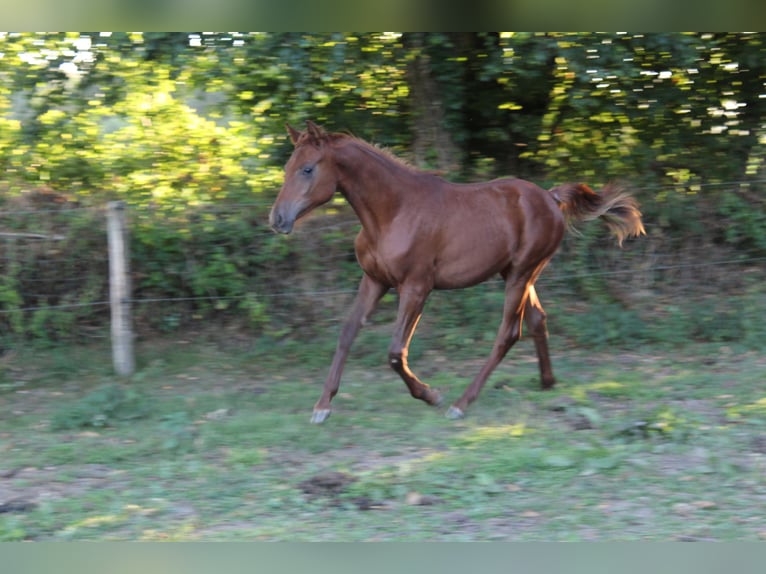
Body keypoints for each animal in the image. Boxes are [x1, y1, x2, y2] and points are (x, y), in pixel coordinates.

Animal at [270, 121, 645, 423]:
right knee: (538, 319)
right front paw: (322, 406)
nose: (277, 219)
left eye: (307, 169)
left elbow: (395, 352)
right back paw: (547, 382)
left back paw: (461, 403)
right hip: (514, 274)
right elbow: (347, 333)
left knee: (509, 333)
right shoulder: (374, 281)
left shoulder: (416, 288)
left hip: (522, 273)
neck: (392, 212)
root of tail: (551, 197)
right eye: (288, 167)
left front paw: (432, 395)